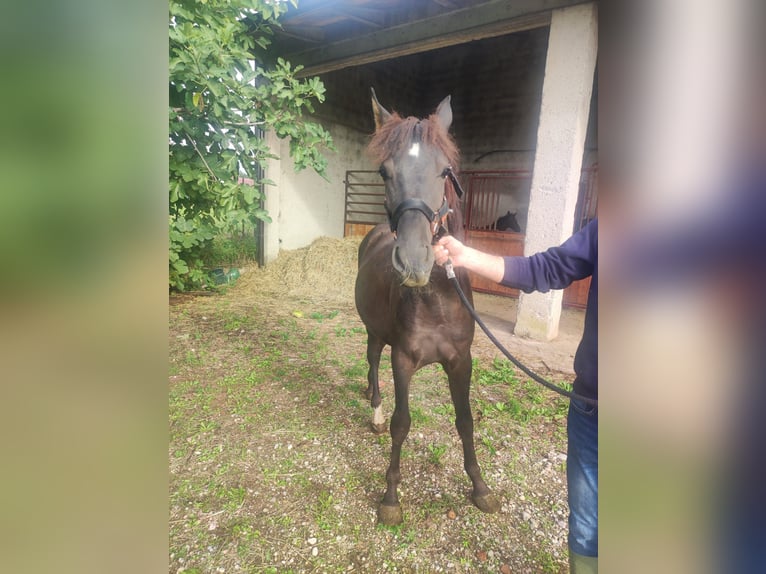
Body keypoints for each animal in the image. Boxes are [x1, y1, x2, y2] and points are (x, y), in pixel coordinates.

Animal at [356, 90, 500, 528]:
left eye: (444, 172)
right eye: (384, 172)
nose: (414, 263)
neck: (436, 299)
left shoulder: (461, 361)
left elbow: (465, 421)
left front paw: (480, 488)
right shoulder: (403, 359)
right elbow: (401, 424)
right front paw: (390, 497)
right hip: (373, 331)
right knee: (372, 361)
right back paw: (374, 411)